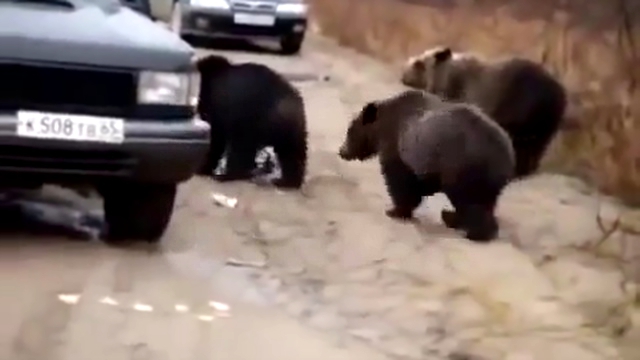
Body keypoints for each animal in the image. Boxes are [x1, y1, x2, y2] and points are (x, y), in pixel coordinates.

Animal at [195, 54, 308, 188]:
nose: (201, 113)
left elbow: (217, 138)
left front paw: (203, 168)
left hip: (256, 121)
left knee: (242, 147)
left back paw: (228, 175)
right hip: (293, 130)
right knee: (291, 152)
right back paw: (288, 181)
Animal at [340, 89, 516, 242]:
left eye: (349, 132)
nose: (342, 152)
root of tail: (507, 157)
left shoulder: (398, 144)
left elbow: (399, 180)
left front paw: (395, 211)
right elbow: (420, 183)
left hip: (465, 166)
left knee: (470, 201)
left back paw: (472, 232)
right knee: (483, 202)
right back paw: (453, 218)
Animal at [402, 46, 568, 179]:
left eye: (418, 63)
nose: (403, 75)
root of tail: (557, 91)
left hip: (525, 106)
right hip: (547, 120)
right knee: (537, 145)